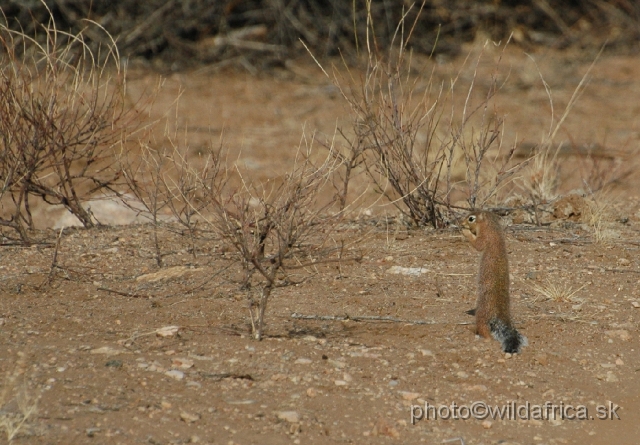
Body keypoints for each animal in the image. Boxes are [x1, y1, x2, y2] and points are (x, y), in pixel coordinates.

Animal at [462, 210, 528, 352]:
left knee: (485, 331)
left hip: (481, 313)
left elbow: (478, 245)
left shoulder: (485, 237)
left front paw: (465, 231)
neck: (494, 228)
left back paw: (474, 331)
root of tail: (500, 313)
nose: (461, 223)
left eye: (471, 218)